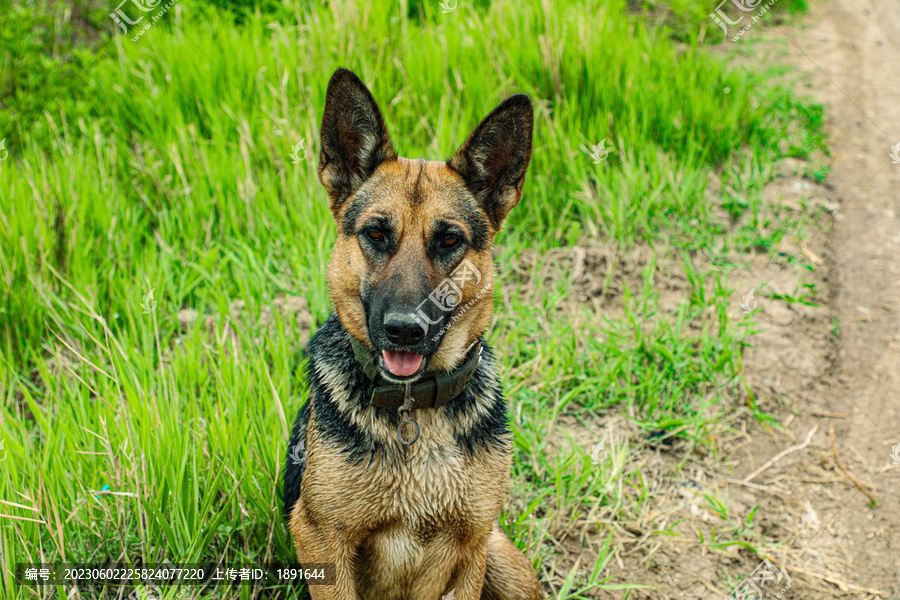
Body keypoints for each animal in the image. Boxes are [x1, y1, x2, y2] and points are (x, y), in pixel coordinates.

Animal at [284, 68, 540, 600]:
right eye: (376, 233)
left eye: (449, 239)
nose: (405, 330)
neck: (414, 408)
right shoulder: (322, 541)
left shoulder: (470, 546)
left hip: (506, 565)